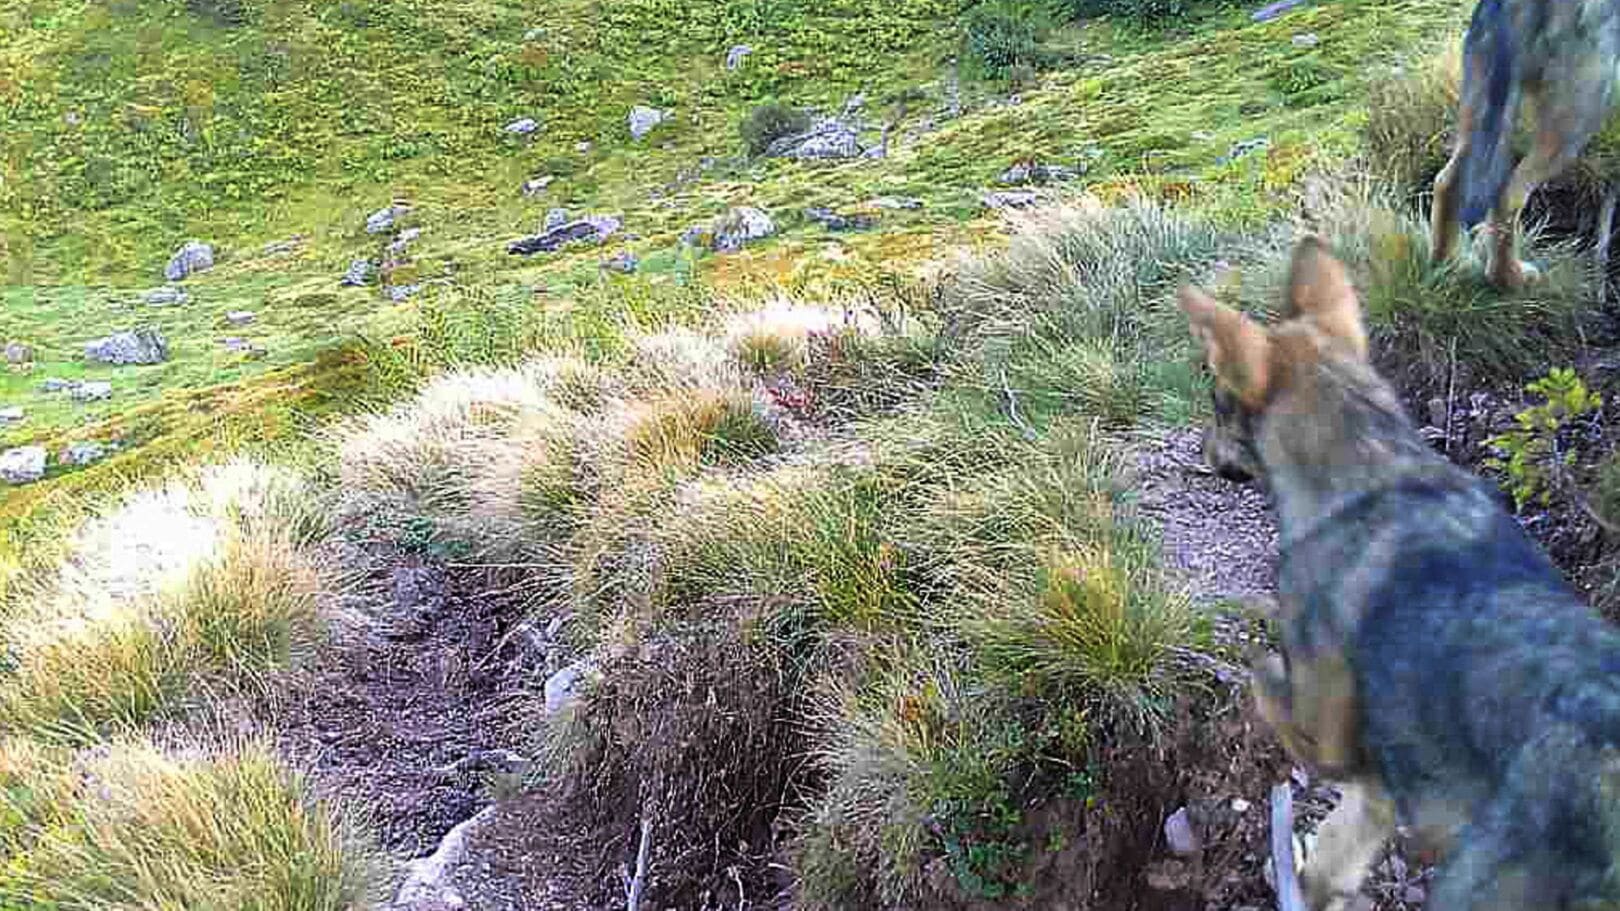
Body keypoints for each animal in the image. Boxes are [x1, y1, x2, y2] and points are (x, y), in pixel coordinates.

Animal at [1180, 237, 1620, 910]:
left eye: (1216, 405)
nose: (1201, 452)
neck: (1374, 467)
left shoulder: (1328, 743)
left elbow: (1263, 676)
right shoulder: (1377, 794)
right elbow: (1334, 858)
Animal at [1429, 0, 1620, 290]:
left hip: (1481, 109)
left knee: (1447, 181)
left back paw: (1448, 266)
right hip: (1579, 114)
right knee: (1507, 197)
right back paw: (1511, 278)